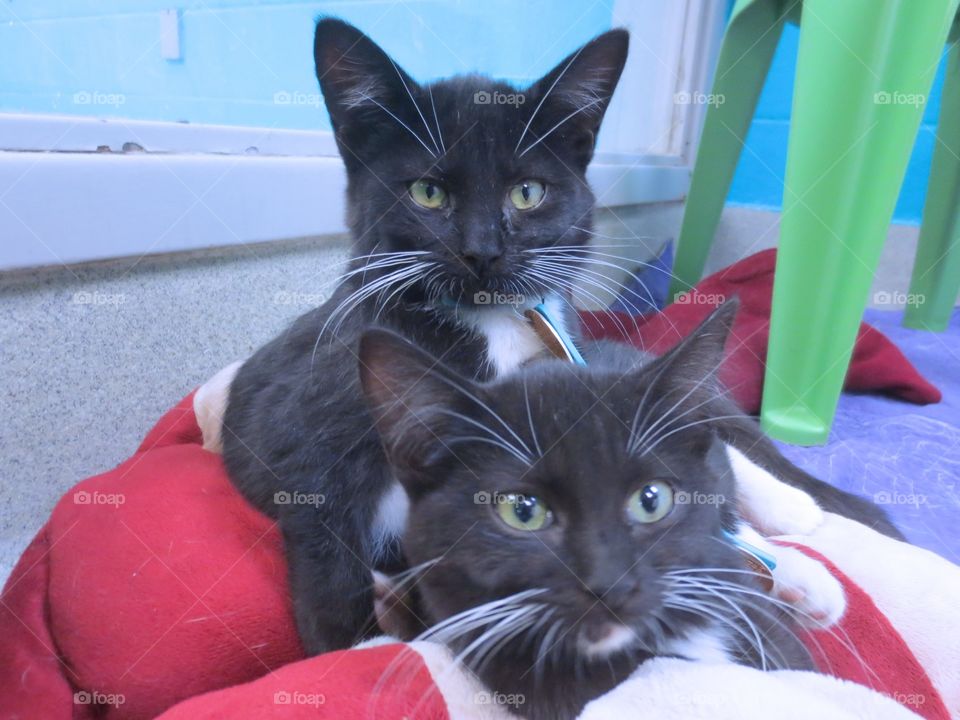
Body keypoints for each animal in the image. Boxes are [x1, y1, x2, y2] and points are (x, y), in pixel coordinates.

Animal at [223, 16, 900, 660]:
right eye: (427, 192)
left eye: (528, 193)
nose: (482, 251)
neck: (492, 329)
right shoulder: (306, 427)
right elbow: (327, 550)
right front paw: (355, 646)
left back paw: (798, 532)